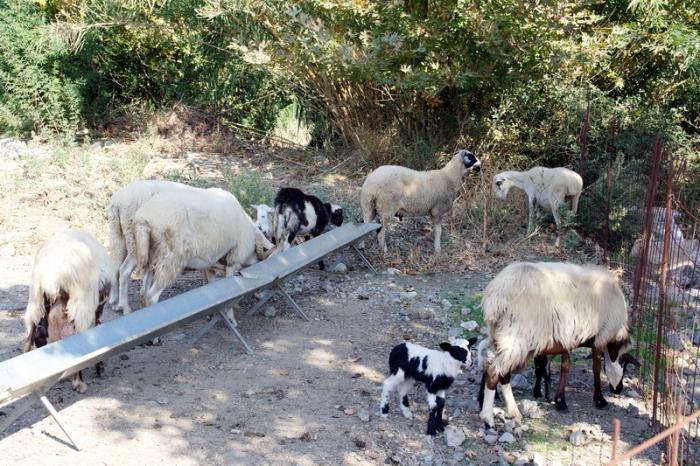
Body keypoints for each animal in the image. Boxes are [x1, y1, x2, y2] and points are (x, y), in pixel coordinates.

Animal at [24, 229, 117, 393]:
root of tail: (52, 275)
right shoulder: (99, 303)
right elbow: (98, 327)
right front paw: (99, 368)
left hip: (35, 297)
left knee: (30, 333)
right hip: (81, 306)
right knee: (77, 337)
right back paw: (79, 382)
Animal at [107, 179, 207, 314]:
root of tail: (118, 200)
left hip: (117, 233)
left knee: (115, 266)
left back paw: (114, 301)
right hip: (135, 239)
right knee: (124, 270)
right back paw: (124, 306)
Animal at [133, 187, 274, 318]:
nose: (262, 294)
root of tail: (144, 219)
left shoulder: (210, 265)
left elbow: (212, 286)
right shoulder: (234, 261)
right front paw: (230, 314)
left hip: (152, 258)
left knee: (143, 294)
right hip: (170, 261)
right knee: (151, 297)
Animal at [477, 261, 633, 429]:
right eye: (624, 364)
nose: (618, 390)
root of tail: (498, 293)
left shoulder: (566, 338)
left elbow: (563, 366)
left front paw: (558, 400)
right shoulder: (600, 337)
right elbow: (596, 368)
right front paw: (599, 400)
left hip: (500, 336)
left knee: (497, 369)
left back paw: (512, 411)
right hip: (515, 338)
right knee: (494, 371)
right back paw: (488, 419)